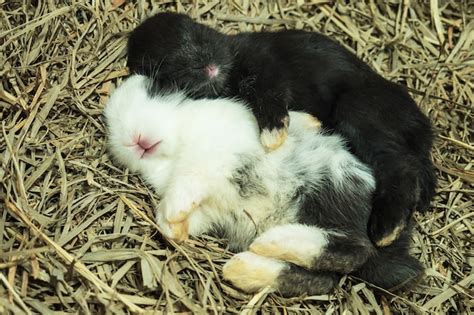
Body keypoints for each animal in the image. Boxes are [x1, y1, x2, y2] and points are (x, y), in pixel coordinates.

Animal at [105, 75, 424, 298]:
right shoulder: (206, 206)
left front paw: (171, 217)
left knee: (356, 250)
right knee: (325, 278)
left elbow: (186, 184)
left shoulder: (206, 159)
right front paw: (174, 230)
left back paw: (270, 243)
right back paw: (243, 268)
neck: (175, 147)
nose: (135, 140)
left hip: (329, 187)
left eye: (156, 91)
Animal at [127, 12, 436, 249]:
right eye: (165, 69)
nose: (206, 66)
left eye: (197, 33)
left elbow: (269, 92)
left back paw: (385, 230)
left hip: (357, 111)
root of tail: (420, 126)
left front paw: (273, 136)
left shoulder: (265, 68)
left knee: (400, 165)